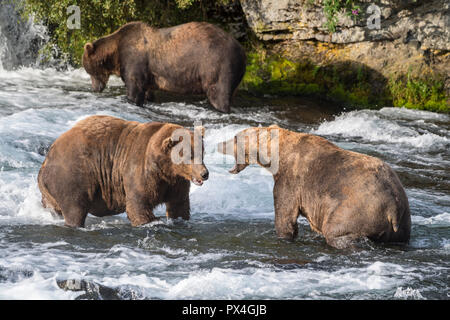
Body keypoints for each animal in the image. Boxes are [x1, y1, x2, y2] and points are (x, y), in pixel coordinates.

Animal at [37, 115, 209, 228]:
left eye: (202, 152)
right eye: (189, 155)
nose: (204, 174)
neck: (164, 168)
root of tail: (47, 158)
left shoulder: (176, 182)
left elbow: (179, 205)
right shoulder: (140, 172)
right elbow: (138, 205)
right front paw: (150, 221)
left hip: (51, 191)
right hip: (72, 175)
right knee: (75, 209)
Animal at [82, 20, 248, 113]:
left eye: (88, 71)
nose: (94, 88)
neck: (115, 54)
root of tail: (242, 49)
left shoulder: (134, 60)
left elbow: (133, 88)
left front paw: (132, 99)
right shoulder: (149, 74)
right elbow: (147, 91)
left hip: (217, 63)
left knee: (218, 93)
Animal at [218, 126, 412, 249]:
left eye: (234, 137)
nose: (220, 143)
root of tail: (393, 206)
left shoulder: (292, 180)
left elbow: (285, 214)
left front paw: (284, 236)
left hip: (359, 207)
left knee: (335, 229)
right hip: (403, 217)